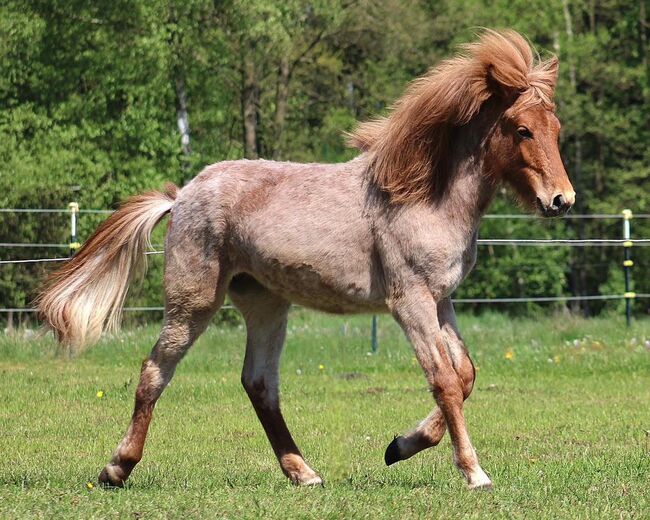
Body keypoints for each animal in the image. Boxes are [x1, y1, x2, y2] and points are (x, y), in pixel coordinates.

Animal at [36, 30, 572, 490]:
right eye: (522, 130)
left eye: (557, 128)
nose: (561, 200)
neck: (423, 196)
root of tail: (182, 194)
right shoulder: (411, 302)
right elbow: (444, 382)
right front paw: (474, 473)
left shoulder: (441, 301)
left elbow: (465, 376)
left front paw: (400, 446)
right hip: (193, 304)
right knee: (154, 372)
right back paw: (116, 467)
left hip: (267, 305)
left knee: (259, 384)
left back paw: (302, 472)